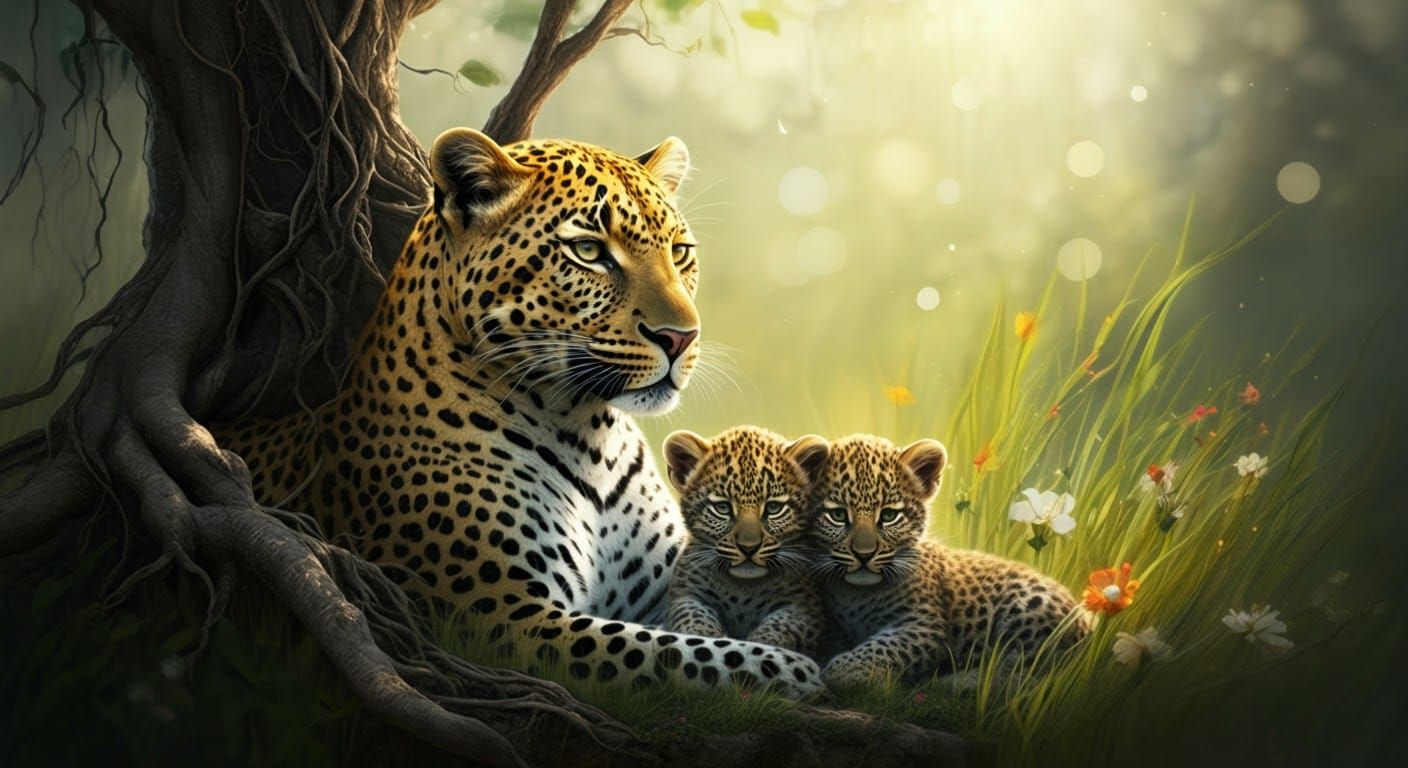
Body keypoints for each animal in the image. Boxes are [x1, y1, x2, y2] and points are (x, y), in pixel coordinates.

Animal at [661, 426, 829, 654]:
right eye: (722, 508)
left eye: (774, 508)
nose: (749, 548)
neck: (742, 590)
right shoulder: (685, 593)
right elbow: (691, 615)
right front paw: (706, 634)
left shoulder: (805, 606)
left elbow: (782, 626)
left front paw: (759, 643)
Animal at [808, 434, 1088, 690]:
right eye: (837, 515)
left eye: (889, 516)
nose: (864, 555)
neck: (856, 594)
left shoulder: (924, 624)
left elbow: (886, 646)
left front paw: (844, 671)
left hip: (1032, 607)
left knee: (1021, 671)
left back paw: (952, 682)